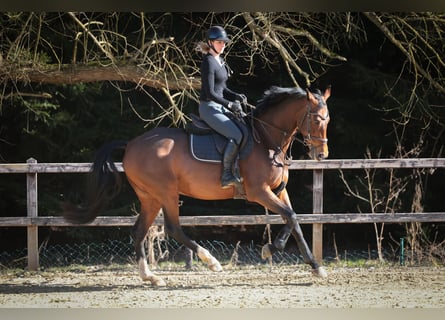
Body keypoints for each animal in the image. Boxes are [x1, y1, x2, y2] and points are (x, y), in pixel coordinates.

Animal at [64, 85, 332, 284]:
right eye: (317, 119)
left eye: (328, 120)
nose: (321, 155)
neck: (265, 139)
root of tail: (131, 144)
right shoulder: (259, 192)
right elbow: (291, 217)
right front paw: (272, 250)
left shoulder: (279, 191)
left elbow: (293, 220)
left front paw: (313, 265)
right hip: (166, 193)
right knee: (173, 228)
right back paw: (210, 261)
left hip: (150, 197)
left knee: (139, 231)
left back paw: (150, 277)